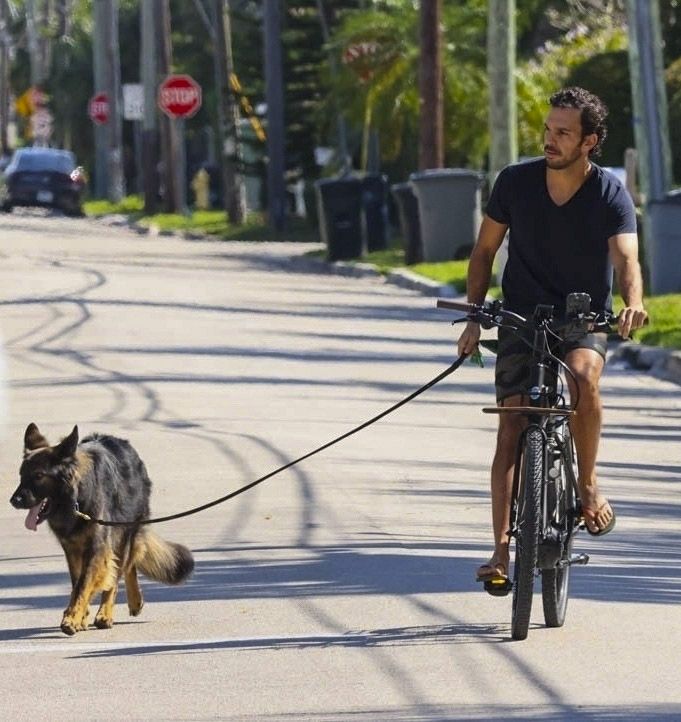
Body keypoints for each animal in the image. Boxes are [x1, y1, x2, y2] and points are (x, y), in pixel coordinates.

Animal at [9, 424, 193, 632]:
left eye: (39, 475)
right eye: (21, 475)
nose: (13, 501)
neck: (76, 499)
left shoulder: (96, 547)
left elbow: (84, 584)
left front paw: (72, 617)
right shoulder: (72, 549)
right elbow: (77, 584)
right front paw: (80, 616)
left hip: (123, 535)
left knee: (121, 570)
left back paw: (107, 613)